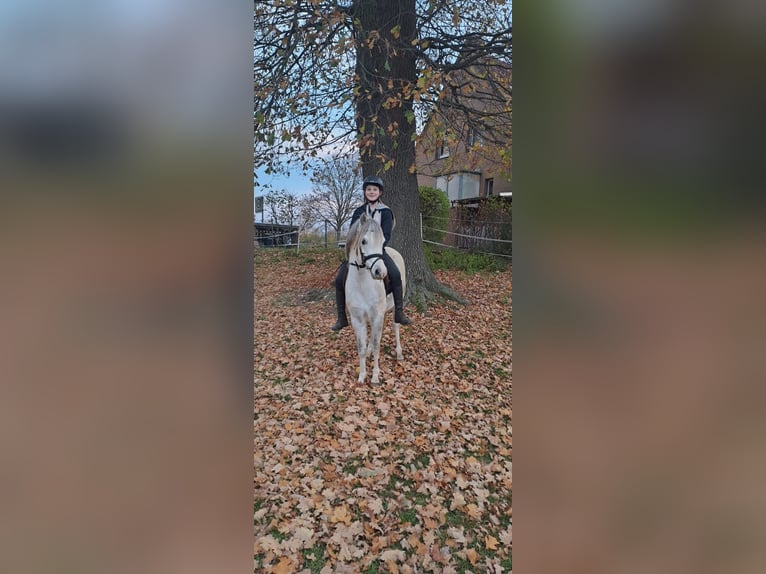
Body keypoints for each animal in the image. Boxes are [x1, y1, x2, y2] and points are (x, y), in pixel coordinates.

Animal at [344, 213, 406, 385]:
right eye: (363, 241)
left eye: (382, 241)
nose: (380, 272)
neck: (362, 284)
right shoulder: (357, 319)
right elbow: (361, 348)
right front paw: (362, 375)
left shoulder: (378, 315)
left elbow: (378, 345)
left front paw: (375, 376)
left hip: (393, 309)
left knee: (396, 326)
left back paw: (399, 352)